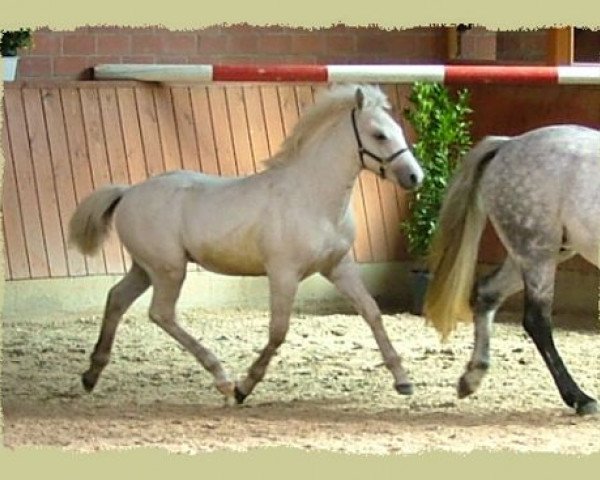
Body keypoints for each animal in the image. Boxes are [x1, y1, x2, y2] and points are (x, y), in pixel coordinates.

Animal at [68, 84, 424, 404]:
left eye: (398, 130)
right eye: (379, 135)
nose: (414, 177)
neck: (312, 197)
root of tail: (128, 192)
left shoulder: (338, 266)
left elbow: (372, 312)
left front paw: (403, 381)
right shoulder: (284, 273)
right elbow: (278, 331)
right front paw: (244, 388)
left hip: (145, 268)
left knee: (117, 298)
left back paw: (91, 374)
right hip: (169, 269)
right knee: (161, 313)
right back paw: (222, 379)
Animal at [424, 124, 596, 416]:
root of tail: (508, 144)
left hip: (533, 254)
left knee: (487, 293)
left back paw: (471, 378)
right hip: (536, 251)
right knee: (537, 321)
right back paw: (580, 399)